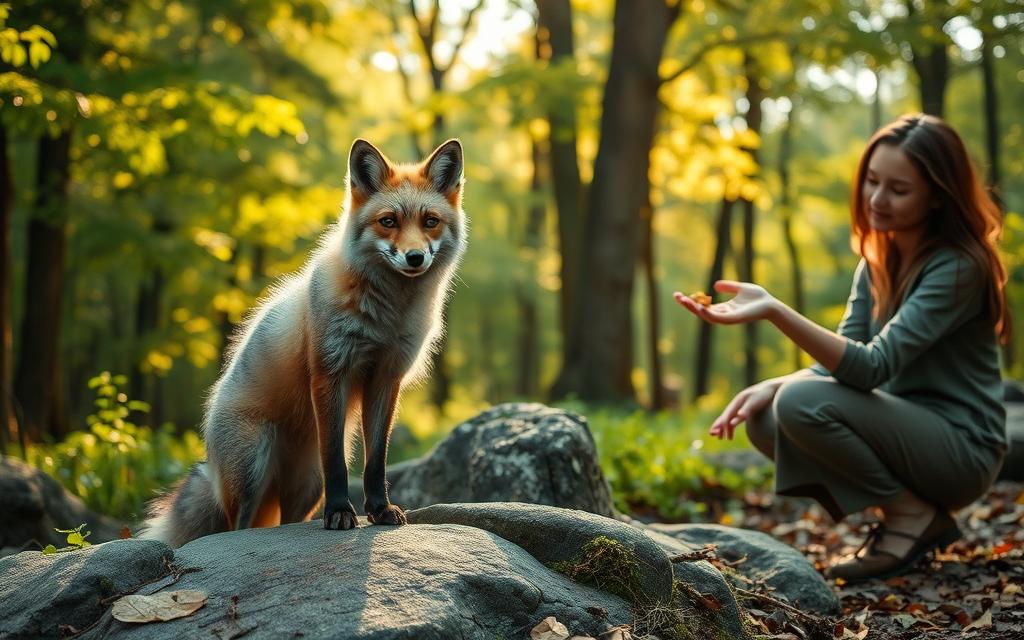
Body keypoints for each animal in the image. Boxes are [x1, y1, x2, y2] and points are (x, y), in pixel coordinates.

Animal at [140, 138, 467, 547]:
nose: (415, 257)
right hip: (251, 470)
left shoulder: (386, 379)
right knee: (236, 529)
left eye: (430, 222)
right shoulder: (329, 372)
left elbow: (376, 461)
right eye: (388, 221)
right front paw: (341, 512)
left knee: (288, 521)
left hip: (306, 486)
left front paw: (378, 510)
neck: (387, 317)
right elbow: (337, 463)